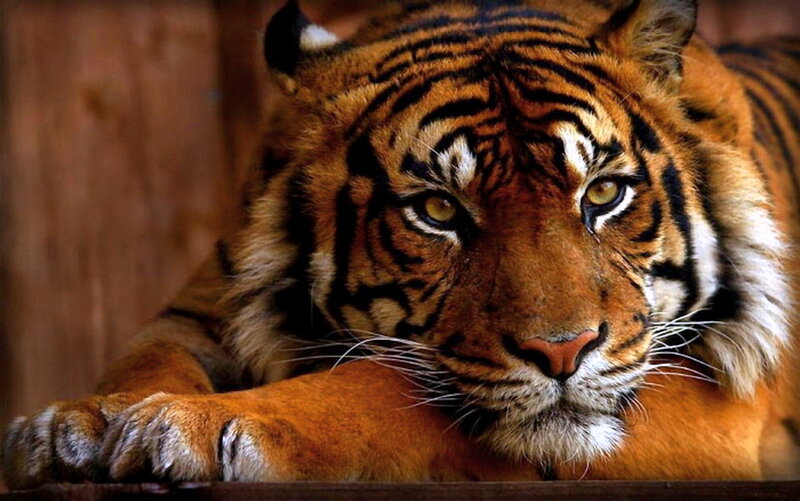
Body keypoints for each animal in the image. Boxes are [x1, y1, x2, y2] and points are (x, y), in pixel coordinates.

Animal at [3, 0, 799, 488]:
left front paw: (200, 424)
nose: (564, 352)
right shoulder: (201, 309)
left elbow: (381, 384)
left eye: (602, 194)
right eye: (439, 210)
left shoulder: (715, 397)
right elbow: (146, 357)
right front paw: (76, 425)